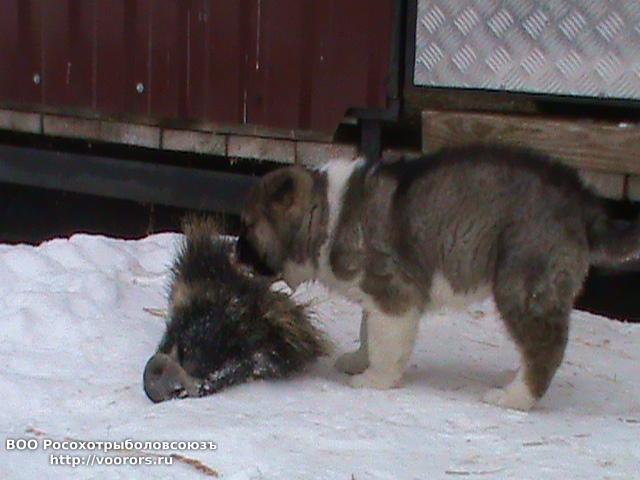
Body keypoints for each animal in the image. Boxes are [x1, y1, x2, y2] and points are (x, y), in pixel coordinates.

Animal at [236, 145, 640, 410]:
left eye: (249, 226)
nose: (234, 255)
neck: (326, 217)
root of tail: (582, 202)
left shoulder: (393, 293)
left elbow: (384, 343)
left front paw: (374, 380)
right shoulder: (376, 294)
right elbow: (368, 331)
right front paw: (358, 360)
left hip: (523, 285)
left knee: (545, 347)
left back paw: (514, 398)